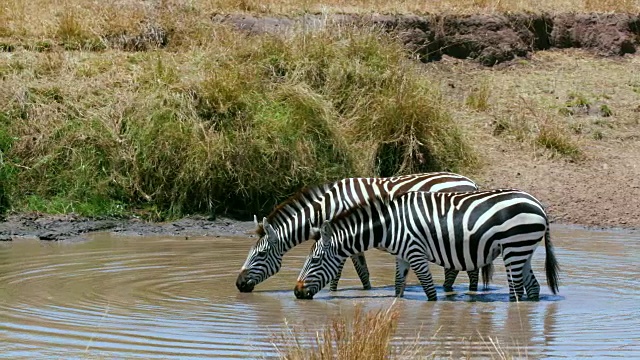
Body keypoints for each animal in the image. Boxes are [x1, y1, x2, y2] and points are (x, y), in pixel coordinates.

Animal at [235, 172, 490, 296]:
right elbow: (363, 273)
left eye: (259, 255)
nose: (238, 285)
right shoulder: (349, 239)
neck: (331, 206)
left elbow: (337, 273)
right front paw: (366, 293)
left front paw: (332, 294)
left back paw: (467, 293)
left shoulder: (340, 236)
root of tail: (470, 182)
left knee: (468, 269)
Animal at [296, 187, 560, 302]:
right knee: (533, 288)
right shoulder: (402, 256)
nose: (297, 292)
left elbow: (430, 291)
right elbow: (398, 287)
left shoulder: (415, 253)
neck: (390, 225)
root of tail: (539, 204)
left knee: (516, 291)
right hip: (523, 251)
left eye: (315, 260)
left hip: (514, 249)